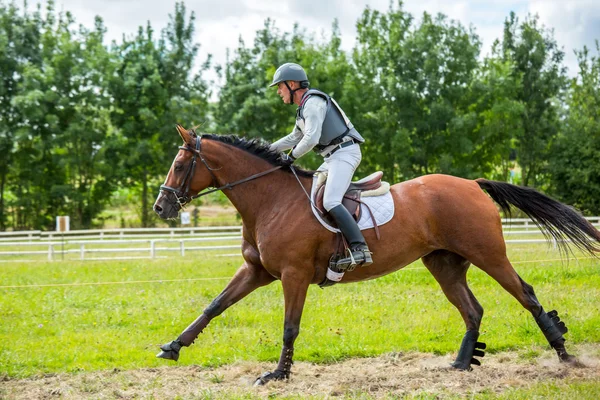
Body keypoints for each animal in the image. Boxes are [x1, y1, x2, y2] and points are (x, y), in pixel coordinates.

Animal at [152, 124, 596, 384]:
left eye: (179, 165)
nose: (161, 207)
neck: (270, 199)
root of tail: (472, 182)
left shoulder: (294, 275)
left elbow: (290, 326)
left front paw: (278, 374)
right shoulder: (257, 271)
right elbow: (214, 306)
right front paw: (173, 347)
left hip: (490, 255)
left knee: (526, 294)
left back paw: (563, 353)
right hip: (444, 264)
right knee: (473, 310)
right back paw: (460, 364)